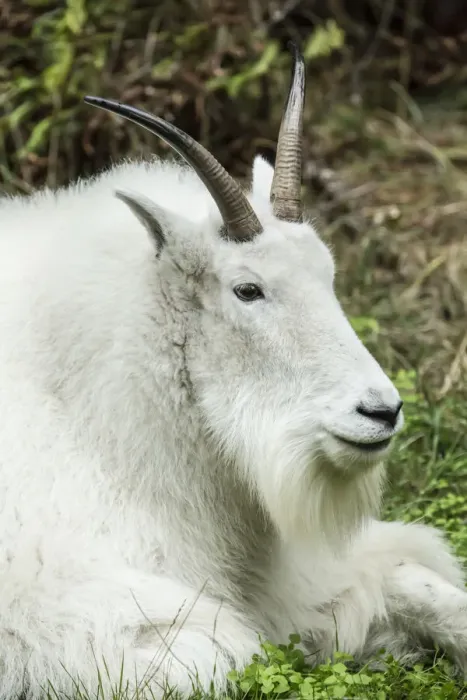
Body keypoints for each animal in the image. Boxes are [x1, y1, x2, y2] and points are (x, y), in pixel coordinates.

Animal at [0, 43, 465, 699]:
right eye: (248, 290)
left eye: (327, 274)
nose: (381, 411)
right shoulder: (86, 622)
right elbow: (233, 653)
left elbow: (413, 580)